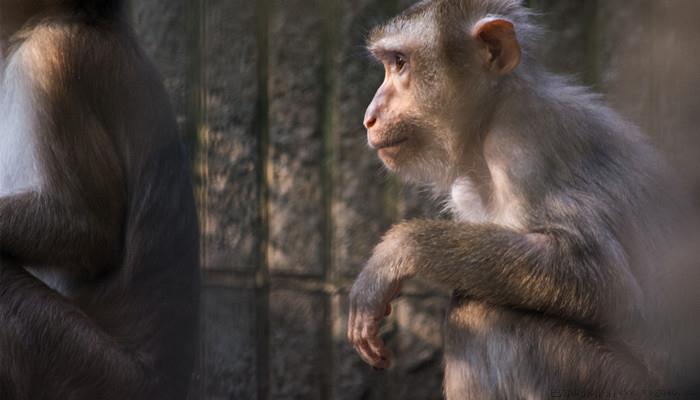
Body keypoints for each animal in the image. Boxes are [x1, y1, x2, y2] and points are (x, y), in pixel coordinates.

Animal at [346, 1, 696, 398]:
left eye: (401, 62)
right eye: (390, 63)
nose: (369, 117)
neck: (492, 117)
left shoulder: (524, 150)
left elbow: (602, 278)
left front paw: (398, 251)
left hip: (616, 385)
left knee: (482, 312)